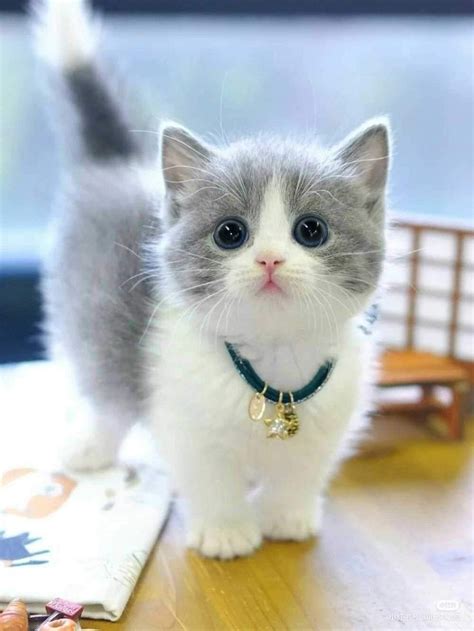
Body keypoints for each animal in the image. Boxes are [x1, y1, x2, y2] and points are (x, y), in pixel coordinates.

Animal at [32, 0, 388, 556]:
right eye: (230, 233)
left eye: (310, 230)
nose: (269, 260)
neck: (275, 364)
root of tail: (120, 165)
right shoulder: (181, 413)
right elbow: (209, 478)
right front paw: (226, 531)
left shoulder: (330, 416)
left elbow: (300, 472)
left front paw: (286, 516)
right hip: (85, 310)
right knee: (104, 380)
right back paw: (92, 443)